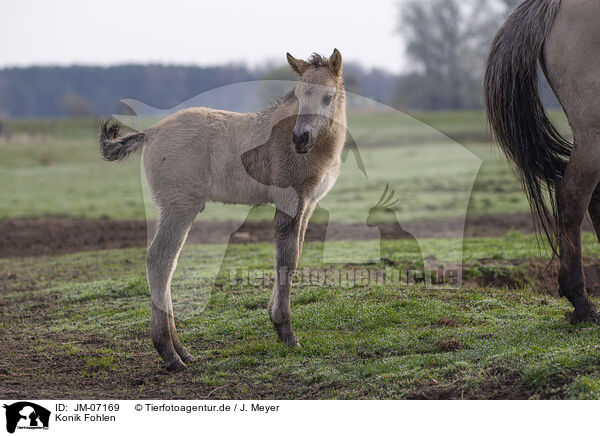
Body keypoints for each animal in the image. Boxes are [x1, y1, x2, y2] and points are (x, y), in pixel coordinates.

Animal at [99, 49, 346, 370]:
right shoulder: (290, 203)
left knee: (167, 263)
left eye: (328, 97)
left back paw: (182, 351)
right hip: (180, 207)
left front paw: (277, 322)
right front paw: (286, 332)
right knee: (160, 260)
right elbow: (287, 259)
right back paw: (169, 353)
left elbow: (295, 255)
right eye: (300, 94)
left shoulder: (309, 204)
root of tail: (151, 132)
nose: (300, 138)